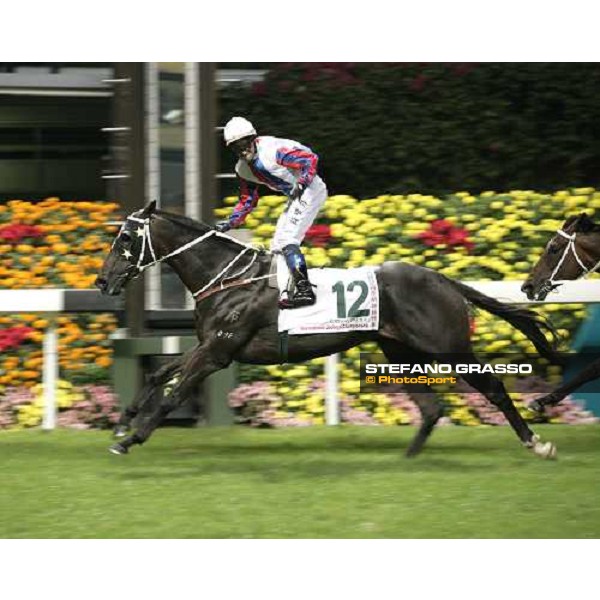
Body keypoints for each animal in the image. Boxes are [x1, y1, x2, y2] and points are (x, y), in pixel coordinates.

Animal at [95, 202, 564, 460]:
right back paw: (407, 459)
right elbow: (160, 372)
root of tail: (443, 280)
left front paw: (131, 438)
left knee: (494, 389)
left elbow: (173, 393)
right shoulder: (209, 344)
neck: (228, 276)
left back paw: (537, 443)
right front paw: (123, 422)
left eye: (125, 239)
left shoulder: (219, 351)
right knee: (431, 408)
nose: (102, 281)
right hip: (399, 351)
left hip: (448, 347)